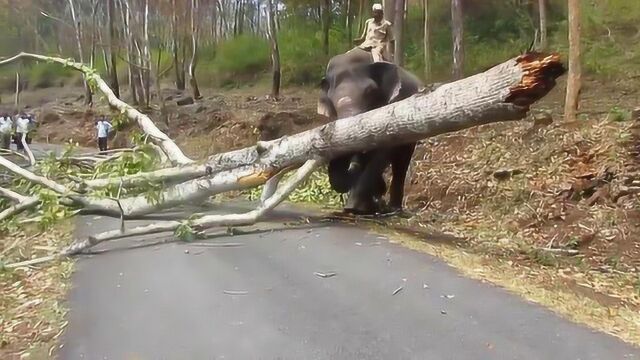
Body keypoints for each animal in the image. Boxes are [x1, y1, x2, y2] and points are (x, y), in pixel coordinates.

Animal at [318, 48, 422, 217]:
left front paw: (355, 208)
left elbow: (383, 151)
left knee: (401, 163)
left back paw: (392, 208)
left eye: (370, 91)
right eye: (331, 99)